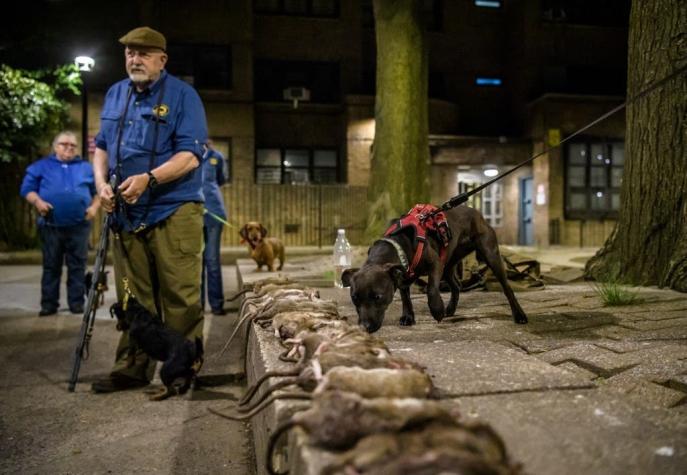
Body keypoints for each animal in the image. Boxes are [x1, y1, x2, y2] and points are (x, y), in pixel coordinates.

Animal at [342, 205, 528, 334]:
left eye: (377, 297)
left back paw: (519, 315)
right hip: (448, 264)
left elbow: (431, 289)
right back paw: (450, 309)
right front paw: (408, 317)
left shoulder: (435, 264)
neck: (399, 244)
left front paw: (437, 310)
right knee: (456, 286)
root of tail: (476, 212)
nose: (364, 328)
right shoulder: (403, 277)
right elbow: (406, 298)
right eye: (354, 298)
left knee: (507, 288)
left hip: (490, 255)